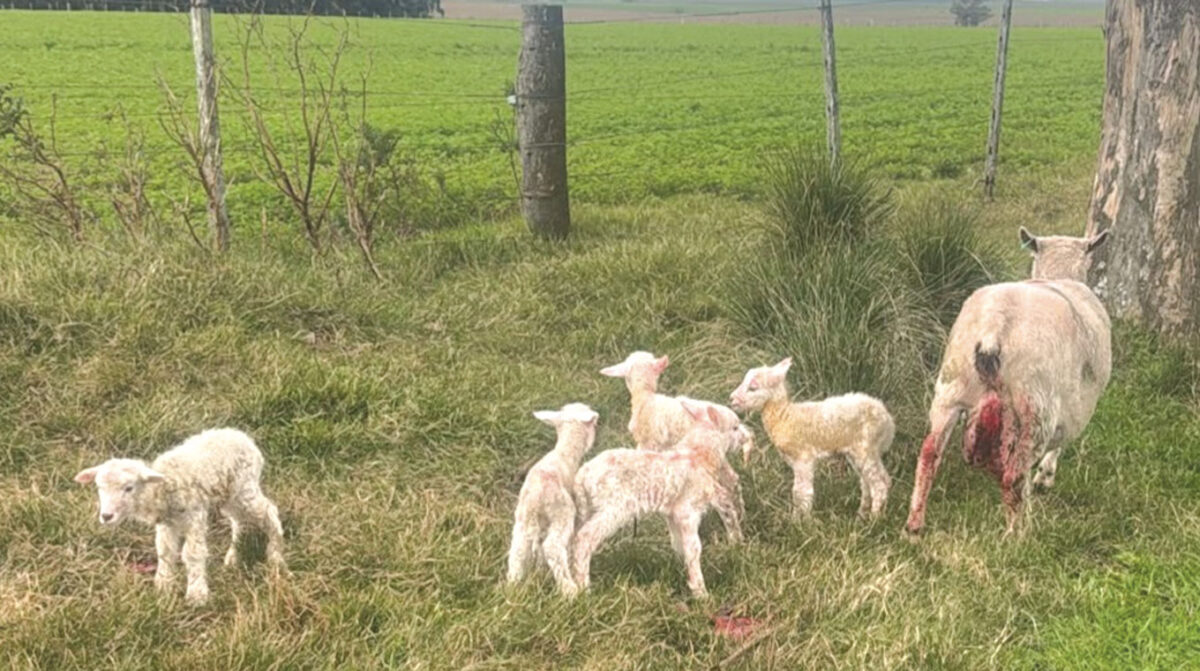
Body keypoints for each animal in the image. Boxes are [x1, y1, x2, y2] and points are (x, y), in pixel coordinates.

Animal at [74, 428, 285, 605]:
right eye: (99, 487)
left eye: (129, 488)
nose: (106, 516)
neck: (161, 489)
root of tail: (242, 436)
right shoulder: (167, 524)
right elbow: (165, 552)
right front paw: (163, 586)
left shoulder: (194, 516)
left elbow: (192, 553)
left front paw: (197, 594)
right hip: (230, 495)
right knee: (238, 519)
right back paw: (234, 554)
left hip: (244, 489)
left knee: (269, 511)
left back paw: (275, 555)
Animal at [506, 403, 599, 597]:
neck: (564, 453)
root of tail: (537, 496)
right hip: (561, 514)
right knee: (552, 547)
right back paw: (569, 590)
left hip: (523, 521)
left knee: (519, 550)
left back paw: (513, 584)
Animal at [572, 400, 745, 598]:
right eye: (735, 427)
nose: (745, 438)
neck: (698, 454)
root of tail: (582, 476)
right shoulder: (687, 510)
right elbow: (694, 547)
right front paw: (701, 592)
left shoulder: (672, 513)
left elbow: (679, 544)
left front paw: (683, 571)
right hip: (614, 505)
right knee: (585, 537)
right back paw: (584, 588)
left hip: (585, 507)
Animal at [729, 357, 895, 519]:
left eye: (753, 387)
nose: (732, 399)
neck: (785, 416)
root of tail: (888, 422)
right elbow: (800, 491)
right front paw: (799, 517)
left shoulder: (803, 458)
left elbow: (801, 492)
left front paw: (800, 521)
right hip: (862, 452)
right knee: (873, 482)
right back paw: (863, 515)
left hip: (866, 448)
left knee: (878, 485)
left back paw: (874, 519)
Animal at [904, 227, 1112, 536]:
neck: (1058, 274)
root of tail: (995, 328)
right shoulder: (1075, 407)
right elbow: (1060, 443)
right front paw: (1045, 477)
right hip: (1035, 409)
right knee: (1014, 475)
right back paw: (1018, 535)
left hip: (950, 389)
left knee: (929, 454)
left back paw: (914, 527)